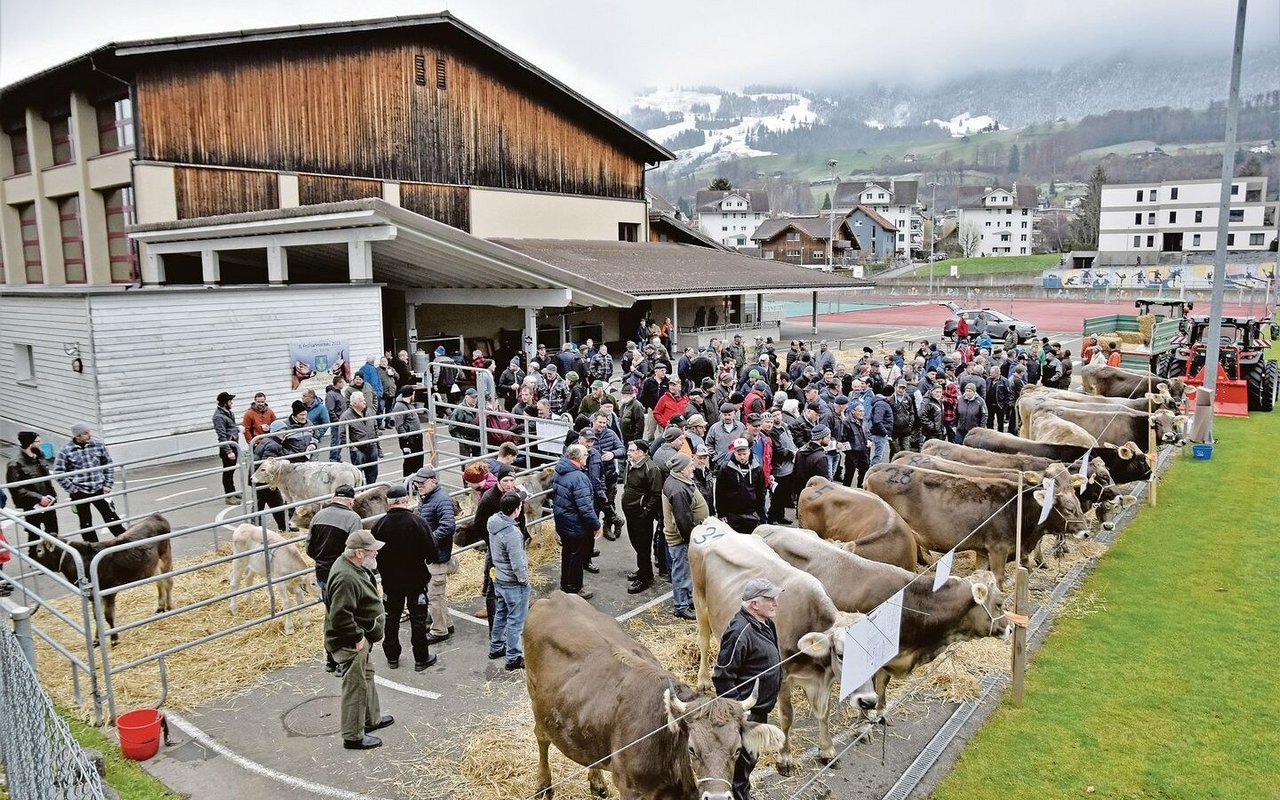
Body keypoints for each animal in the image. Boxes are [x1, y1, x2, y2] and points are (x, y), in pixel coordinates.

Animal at [32, 512, 174, 650]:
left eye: (39, 550)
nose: (31, 564)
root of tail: (155, 516)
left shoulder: (109, 591)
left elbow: (108, 615)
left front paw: (114, 639)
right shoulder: (93, 595)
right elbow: (97, 616)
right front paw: (96, 640)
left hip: (165, 557)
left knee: (168, 582)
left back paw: (170, 607)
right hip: (153, 565)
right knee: (160, 582)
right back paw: (160, 607)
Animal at [524, 588, 783, 793]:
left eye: (737, 749)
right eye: (692, 749)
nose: (717, 796)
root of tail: (554, 597)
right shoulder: (629, 788)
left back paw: (597, 782)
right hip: (536, 699)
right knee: (541, 737)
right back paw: (543, 785)